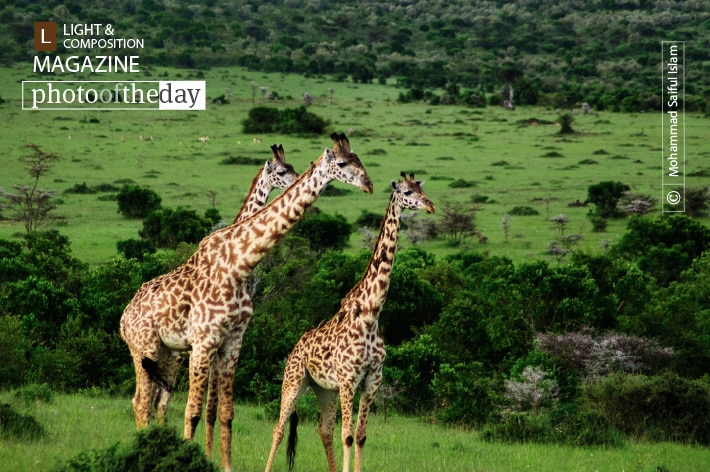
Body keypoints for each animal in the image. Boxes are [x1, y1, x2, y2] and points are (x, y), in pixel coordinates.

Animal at [118, 132, 372, 472]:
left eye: (359, 158)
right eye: (343, 163)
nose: (369, 185)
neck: (240, 265)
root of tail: (123, 317)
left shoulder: (232, 342)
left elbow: (224, 414)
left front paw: (222, 464)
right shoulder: (204, 343)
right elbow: (195, 412)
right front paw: (193, 459)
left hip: (167, 353)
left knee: (157, 401)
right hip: (143, 347)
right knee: (142, 402)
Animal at [266, 173, 436, 472]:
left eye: (420, 188)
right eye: (406, 192)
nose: (430, 205)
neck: (371, 313)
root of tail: (297, 345)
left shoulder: (372, 381)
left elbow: (360, 436)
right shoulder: (348, 379)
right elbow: (346, 435)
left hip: (325, 390)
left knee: (323, 429)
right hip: (295, 380)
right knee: (279, 428)